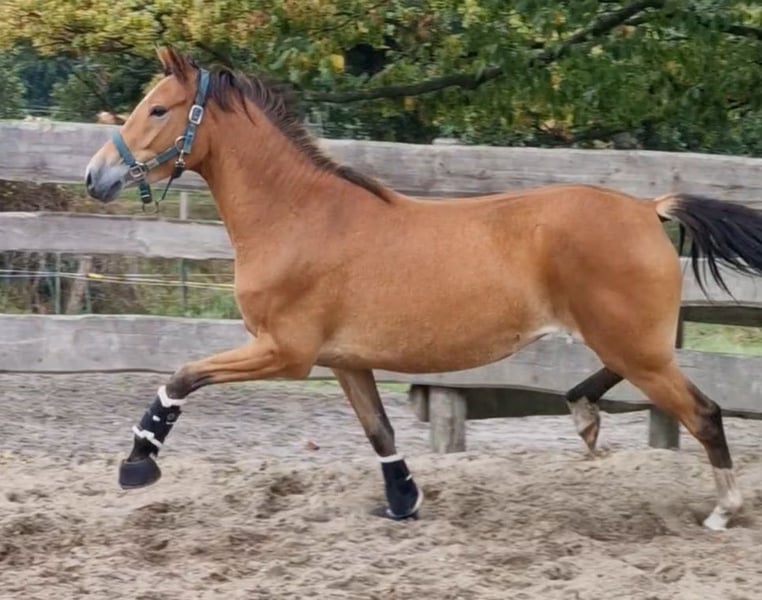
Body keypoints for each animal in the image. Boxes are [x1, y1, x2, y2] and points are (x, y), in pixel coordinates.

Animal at [85, 46, 762, 531]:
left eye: (157, 110)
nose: (96, 176)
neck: (299, 215)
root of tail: (648, 208)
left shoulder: (284, 352)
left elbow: (181, 376)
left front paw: (137, 463)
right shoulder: (344, 360)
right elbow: (380, 431)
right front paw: (403, 500)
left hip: (633, 343)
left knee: (703, 413)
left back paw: (723, 510)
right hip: (628, 340)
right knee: (627, 384)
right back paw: (584, 416)